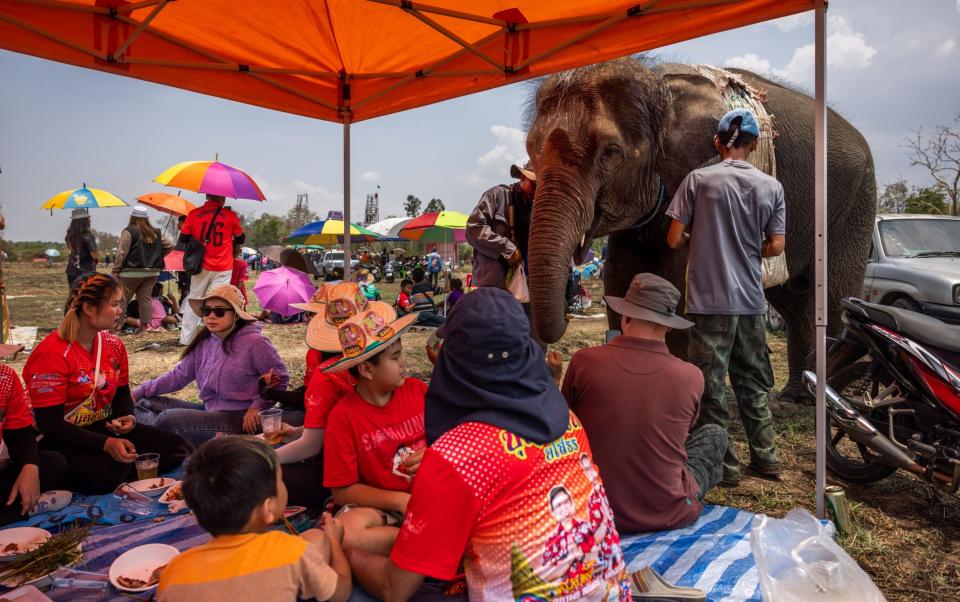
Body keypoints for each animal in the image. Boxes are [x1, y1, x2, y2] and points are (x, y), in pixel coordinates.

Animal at [524, 58, 876, 400]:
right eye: (532, 151)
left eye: (611, 152)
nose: (569, 310)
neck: (658, 89)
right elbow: (620, 277)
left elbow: (681, 287)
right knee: (794, 301)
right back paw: (794, 396)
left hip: (856, 200)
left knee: (834, 295)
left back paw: (838, 397)